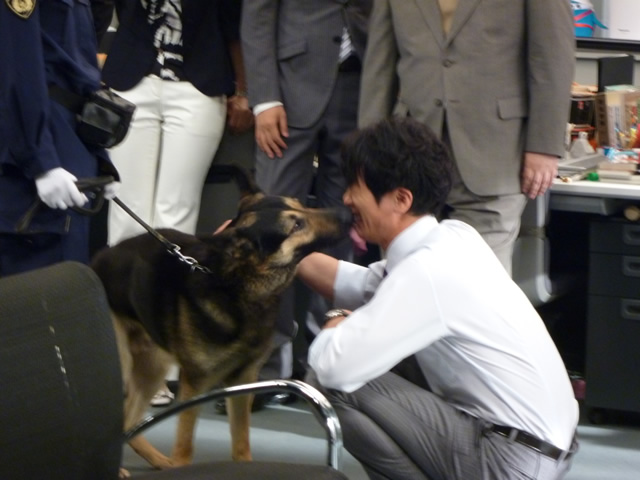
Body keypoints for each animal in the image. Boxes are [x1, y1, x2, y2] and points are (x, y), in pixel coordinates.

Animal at [90, 168, 350, 472]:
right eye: (296, 225)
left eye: (301, 204)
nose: (347, 213)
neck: (237, 286)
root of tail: (99, 258)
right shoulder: (195, 385)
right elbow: (185, 448)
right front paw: (182, 466)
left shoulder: (244, 381)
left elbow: (241, 444)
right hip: (120, 365)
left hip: (152, 369)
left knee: (129, 423)